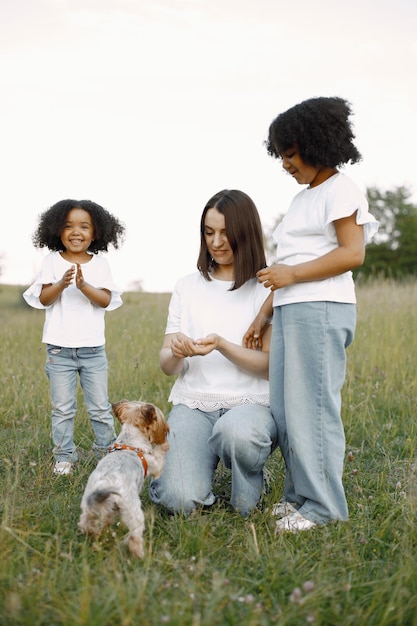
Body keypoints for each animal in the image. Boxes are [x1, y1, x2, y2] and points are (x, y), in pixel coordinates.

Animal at [78, 398, 169, 560]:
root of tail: (105, 487)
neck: (129, 441)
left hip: (91, 508)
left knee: (87, 523)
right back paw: (139, 555)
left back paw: (93, 534)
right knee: (134, 535)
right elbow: (159, 455)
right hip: (133, 511)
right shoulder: (155, 464)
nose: (166, 430)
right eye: (159, 420)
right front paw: (165, 444)